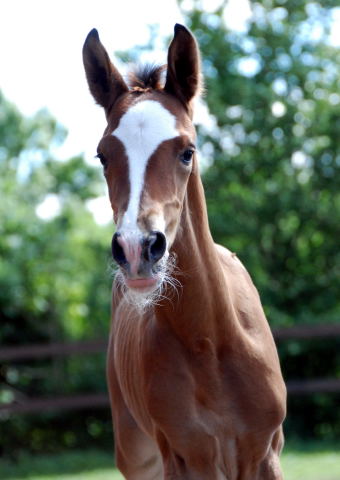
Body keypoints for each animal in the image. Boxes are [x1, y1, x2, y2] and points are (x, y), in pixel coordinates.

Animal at [83, 23, 286, 480]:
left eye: (187, 151)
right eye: (103, 155)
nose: (137, 249)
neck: (209, 341)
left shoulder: (265, 453)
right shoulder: (182, 457)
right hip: (137, 457)